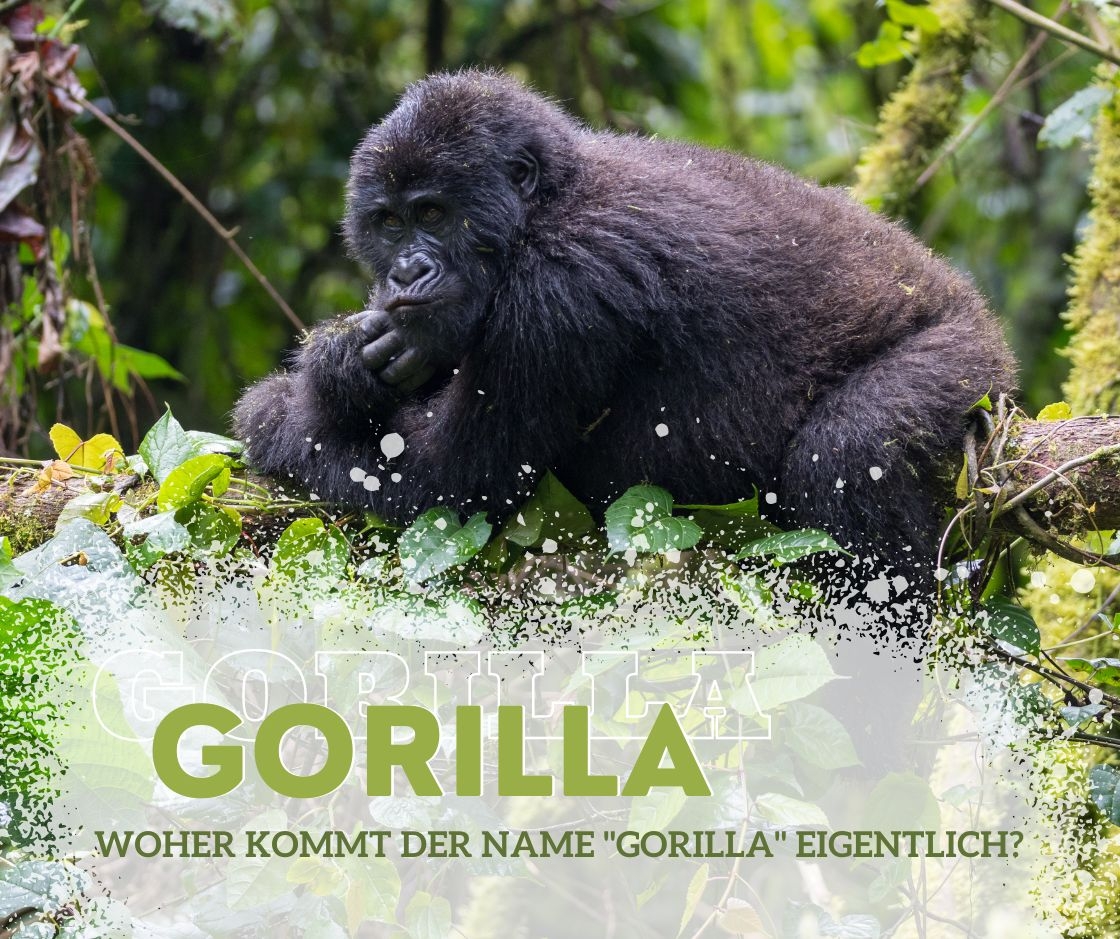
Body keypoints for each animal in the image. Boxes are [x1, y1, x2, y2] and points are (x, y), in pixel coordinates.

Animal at [233, 69, 1016, 569]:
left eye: (433, 214)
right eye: (389, 224)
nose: (404, 273)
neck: (549, 199)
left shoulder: (559, 292)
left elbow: (451, 485)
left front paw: (287, 403)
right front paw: (344, 360)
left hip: (965, 355)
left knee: (850, 450)